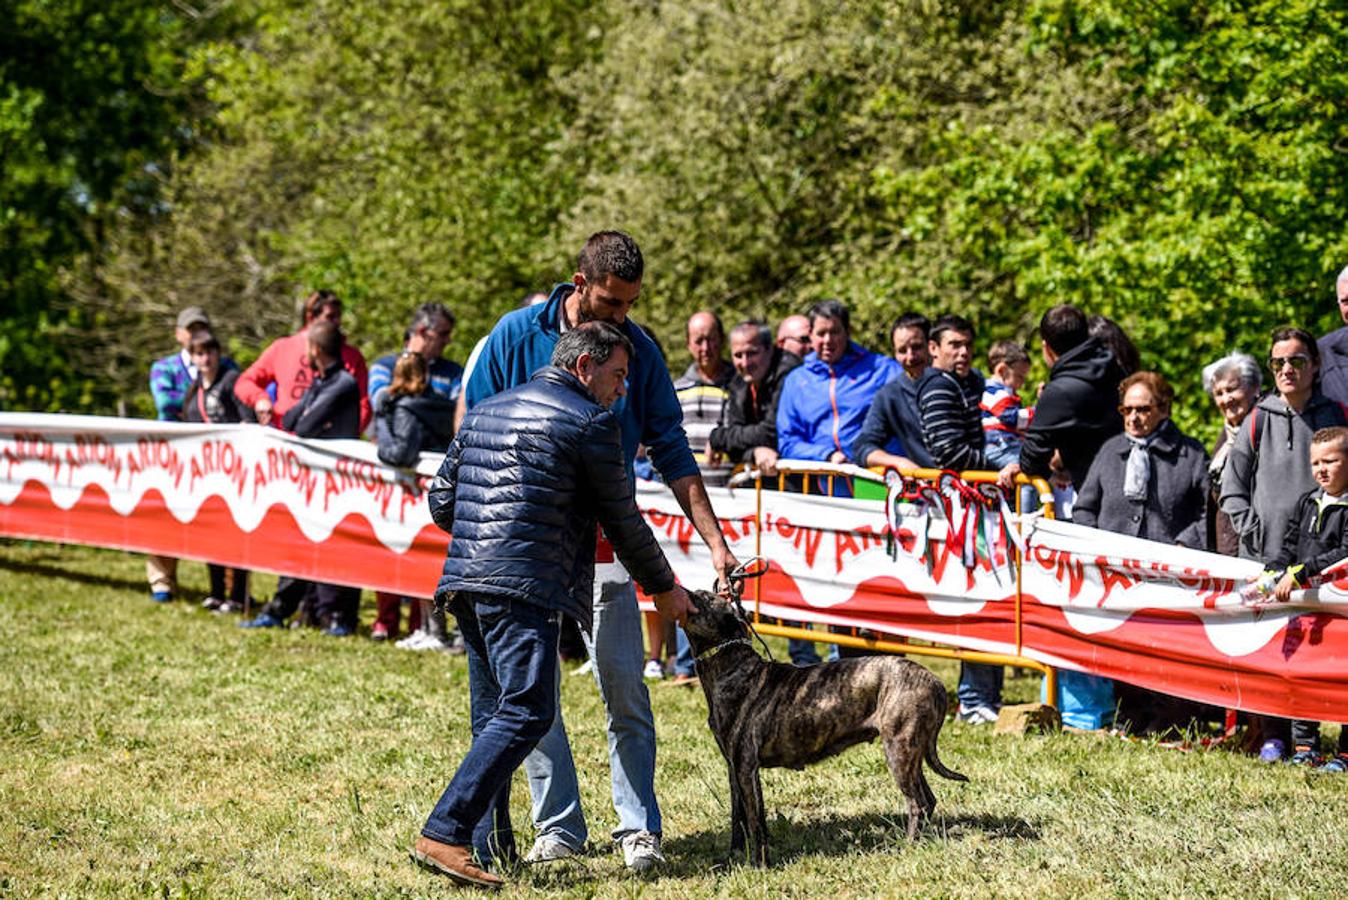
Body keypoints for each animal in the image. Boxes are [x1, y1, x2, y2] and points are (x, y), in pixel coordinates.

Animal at [684, 590, 970, 862]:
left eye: (703, 598)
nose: (682, 590)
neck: (731, 666)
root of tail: (935, 682)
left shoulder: (746, 767)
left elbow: (756, 822)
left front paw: (759, 863)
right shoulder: (734, 768)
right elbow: (738, 818)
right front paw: (734, 856)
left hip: (899, 750)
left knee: (917, 803)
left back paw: (908, 846)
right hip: (912, 752)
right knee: (928, 800)